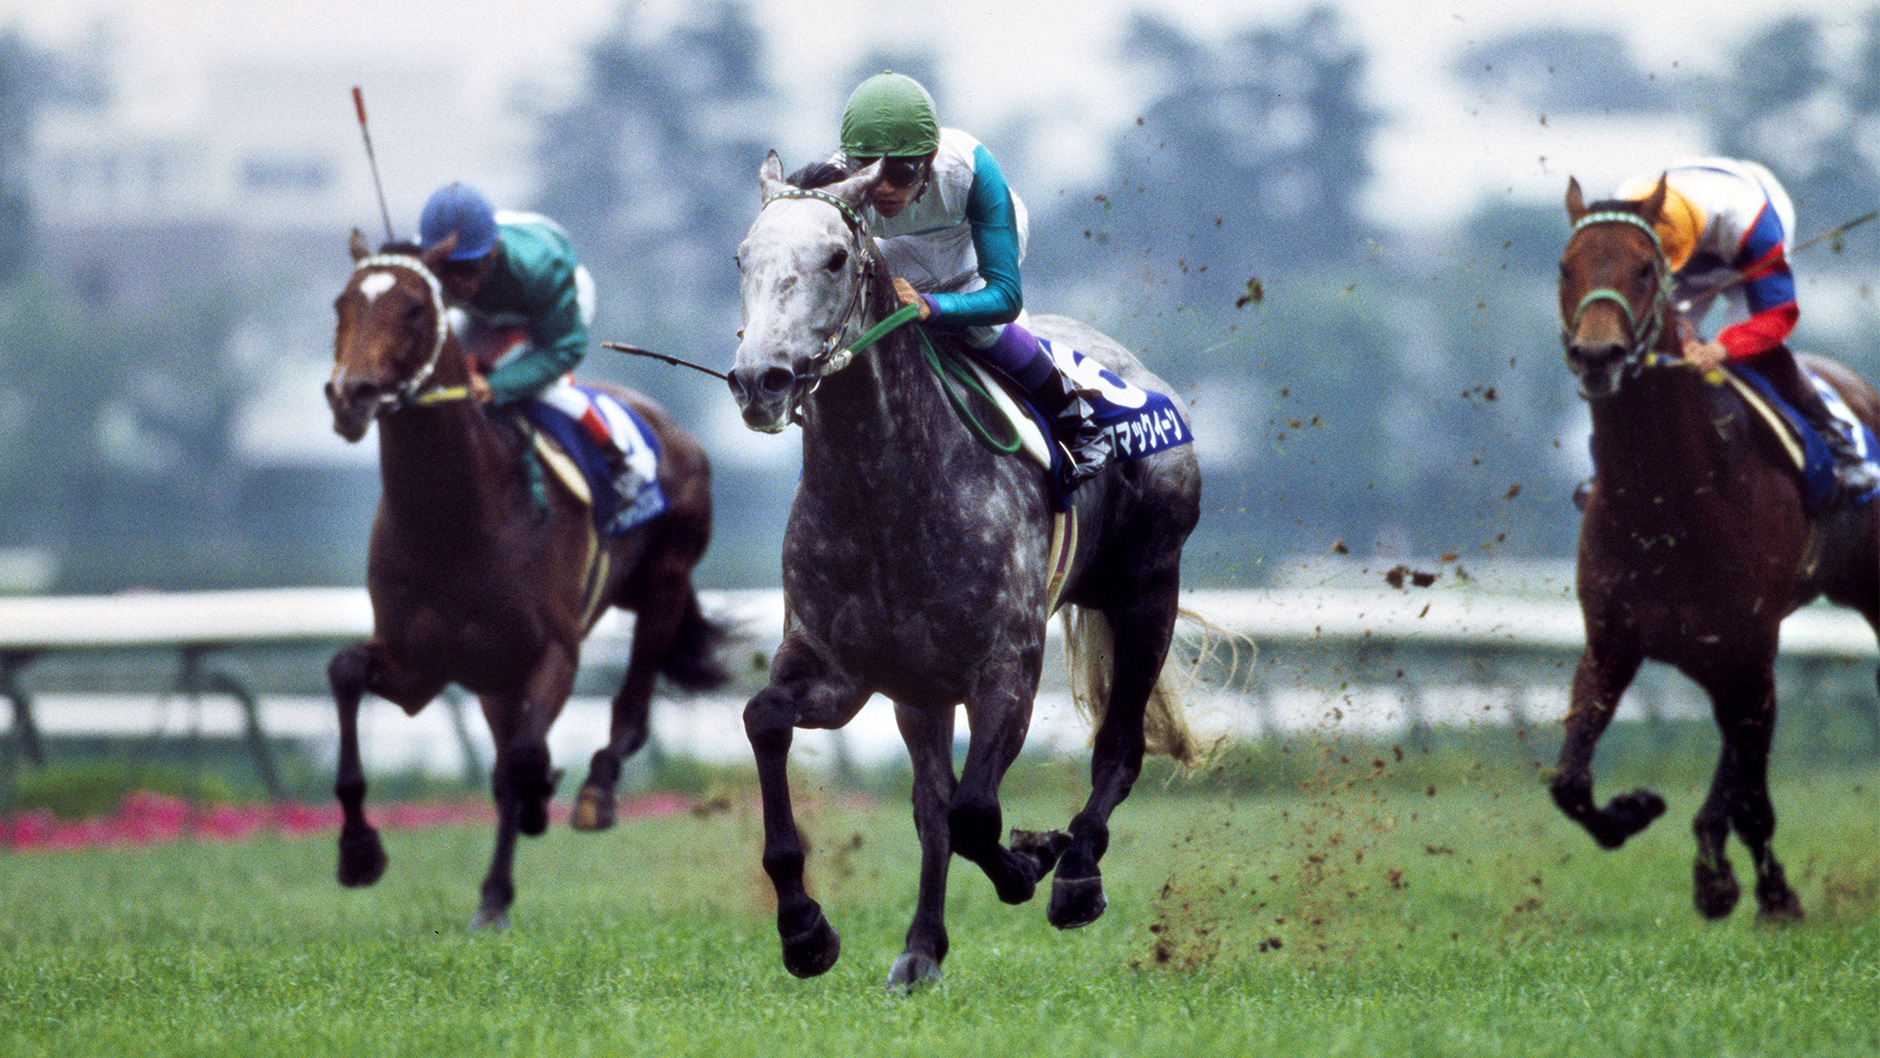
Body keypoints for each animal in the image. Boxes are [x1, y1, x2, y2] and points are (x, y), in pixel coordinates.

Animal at [325, 229, 728, 929]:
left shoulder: (552, 653)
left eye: (414, 310)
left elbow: (521, 761)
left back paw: (592, 793)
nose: (351, 395)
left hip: (665, 583)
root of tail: (670, 425)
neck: (458, 521)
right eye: (342, 304)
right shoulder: (419, 665)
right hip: (493, 677)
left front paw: (534, 814)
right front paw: (358, 852)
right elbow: (346, 673)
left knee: (629, 710)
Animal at [725, 154, 1205, 990]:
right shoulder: (842, 669)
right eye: (743, 258)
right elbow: (768, 723)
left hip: (1148, 590)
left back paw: (1076, 875)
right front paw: (805, 929)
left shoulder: (1006, 667)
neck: (884, 487)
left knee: (1118, 745)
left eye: (836, 258)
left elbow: (976, 814)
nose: (762, 380)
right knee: (929, 804)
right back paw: (920, 950)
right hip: (921, 688)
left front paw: (1033, 861)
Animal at [1553, 176, 1880, 921]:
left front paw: (1766, 893)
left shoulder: (1747, 646)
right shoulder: (1613, 642)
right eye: (1565, 267)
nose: (1597, 356)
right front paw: (1636, 810)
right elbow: (1569, 781)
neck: (1666, 499)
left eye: (1644, 270)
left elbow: (1754, 797)